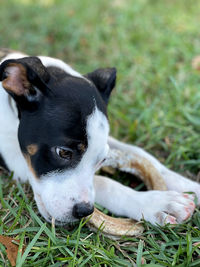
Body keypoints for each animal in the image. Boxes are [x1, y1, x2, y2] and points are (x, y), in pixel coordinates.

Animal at [0, 48, 199, 226]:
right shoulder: (17, 163)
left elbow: (140, 154)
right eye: (63, 152)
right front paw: (155, 203)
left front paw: (189, 185)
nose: (84, 211)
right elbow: (103, 182)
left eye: (102, 160)